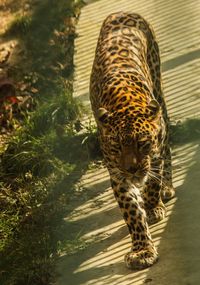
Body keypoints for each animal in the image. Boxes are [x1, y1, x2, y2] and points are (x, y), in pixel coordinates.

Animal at [89, 11, 175, 268]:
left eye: (143, 143)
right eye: (117, 147)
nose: (133, 169)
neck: (123, 101)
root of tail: (121, 12)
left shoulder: (154, 152)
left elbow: (152, 181)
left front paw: (152, 205)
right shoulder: (117, 173)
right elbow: (132, 211)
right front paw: (142, 250)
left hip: (159, 91)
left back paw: (166, 188)